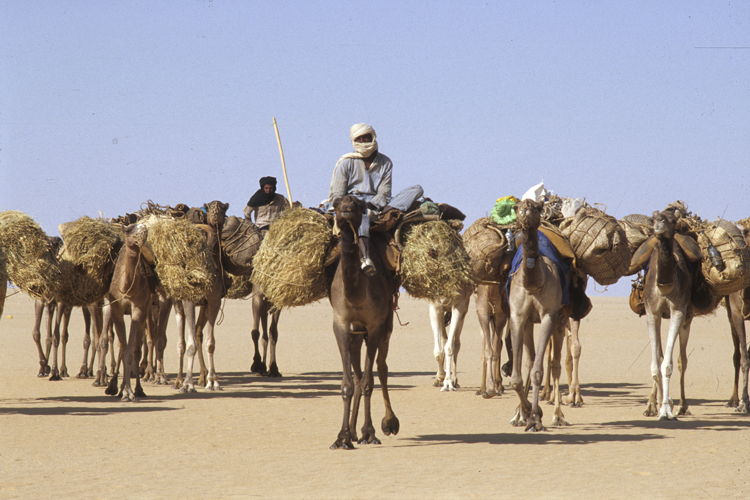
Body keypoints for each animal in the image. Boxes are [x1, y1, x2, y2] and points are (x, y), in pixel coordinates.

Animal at [328, 195, 400, 450]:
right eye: (337, 204)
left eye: (359, 204)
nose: (348, 206)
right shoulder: (340, 323)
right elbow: (348, 384)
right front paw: (342, 437)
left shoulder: (375, 325)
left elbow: (370, 381)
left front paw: (370, 433)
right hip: (356, 335)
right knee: (358, 377)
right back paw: (352, 432)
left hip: (386, 325)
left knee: (382, 367)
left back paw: (388, 423)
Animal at [508, 198, 572, 430]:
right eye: (516, 207)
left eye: (536, 208)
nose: (526, 209)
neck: (533, 283)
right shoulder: (518, 316)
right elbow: (517, 376)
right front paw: (524, 413)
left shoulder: (548, 315)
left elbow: (538, 371)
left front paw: (536, 416)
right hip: (528, 323)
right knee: (531, 359)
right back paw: (519, 414)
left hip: (560, 318)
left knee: (555, 363)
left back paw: (558, 416)